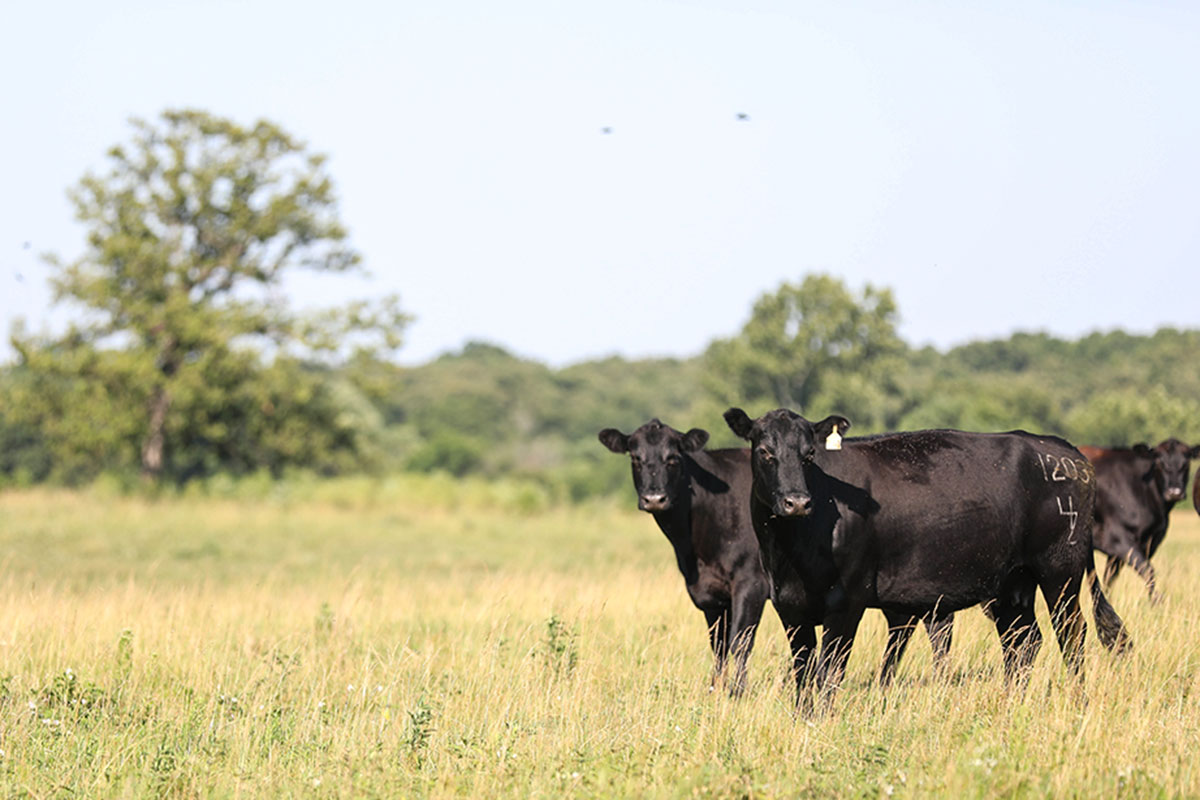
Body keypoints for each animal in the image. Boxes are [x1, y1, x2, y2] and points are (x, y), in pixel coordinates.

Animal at [600, 419, 768, 695]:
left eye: (673, 458)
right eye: (635, 457)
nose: (654, 498)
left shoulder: (752, 581)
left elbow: (740, 641)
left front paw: (738, 692)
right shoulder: (711, 593)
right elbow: (718, 644)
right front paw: (715, 689)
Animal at [724, 407, 1128, 705]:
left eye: (809, 455)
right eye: (765, 452)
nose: (796, 502)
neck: (791, 553)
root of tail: (1060, 448)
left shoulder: (848, 602)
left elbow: (828, 673)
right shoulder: (790, 607)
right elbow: (804, 676)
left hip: (1060, 569)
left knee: (1071, 634)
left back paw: (1078, 702)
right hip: (1012, 581)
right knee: (1022, 640)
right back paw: (1010, 703)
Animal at [1084, 441, 1195, 604]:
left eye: (1186, 463)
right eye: (1159, 462)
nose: (1174, 492)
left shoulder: (1148, 542)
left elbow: (1109, 578)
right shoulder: (1117, 539)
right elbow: (1147, 569)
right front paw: (1156, 601)